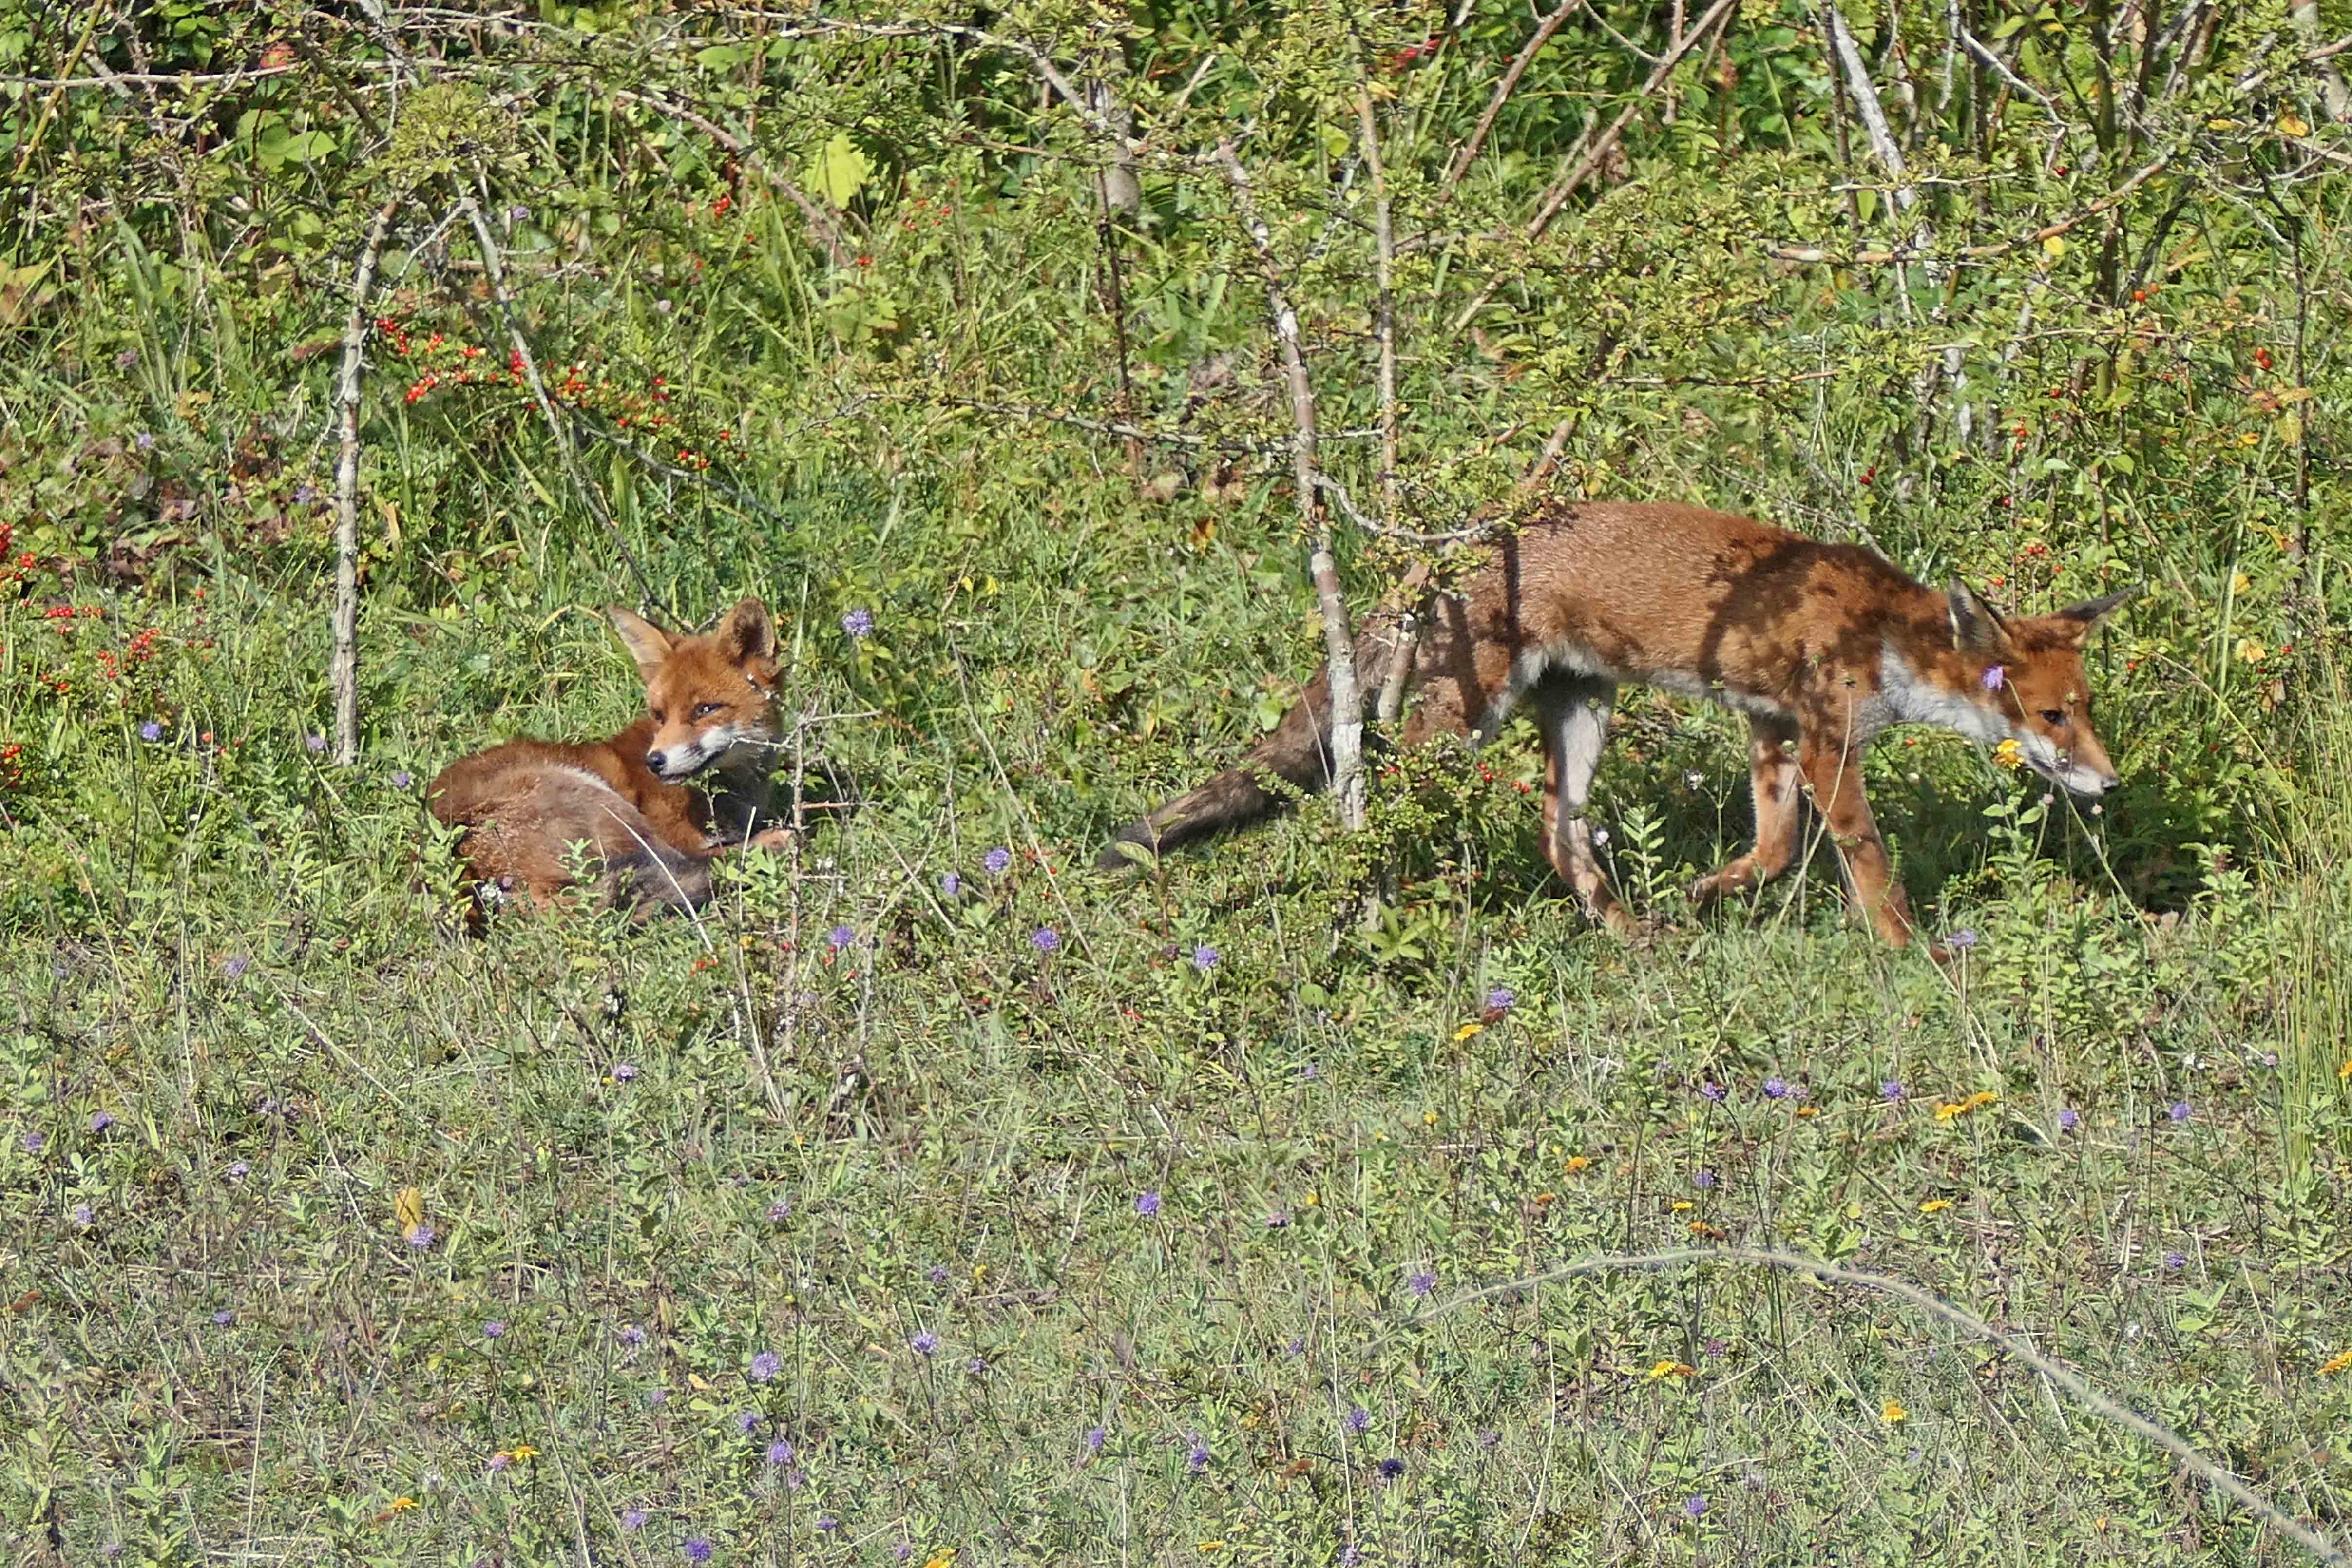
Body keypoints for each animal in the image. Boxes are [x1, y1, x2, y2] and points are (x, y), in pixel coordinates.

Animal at [427, 598, 796, 920]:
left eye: (705, 709)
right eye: (659, 715)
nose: (655, 762)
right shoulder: (678, 836)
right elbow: (712, 853)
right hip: (607, 807)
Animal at [1100, 499, 2131, 953]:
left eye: (2086, 709)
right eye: (2049, 714)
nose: (2111, 783)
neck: (1881, 633)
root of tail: (1454, 539)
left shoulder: (1770, 727)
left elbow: (1770, 848)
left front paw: (1706, 893)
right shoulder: (1826, 739)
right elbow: (1870, 864)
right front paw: (1908, 950)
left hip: (1581, 711)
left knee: (1560, 834)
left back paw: (1632, 933)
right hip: (1461, 722)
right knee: (1375, 798)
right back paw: (1378, 899)